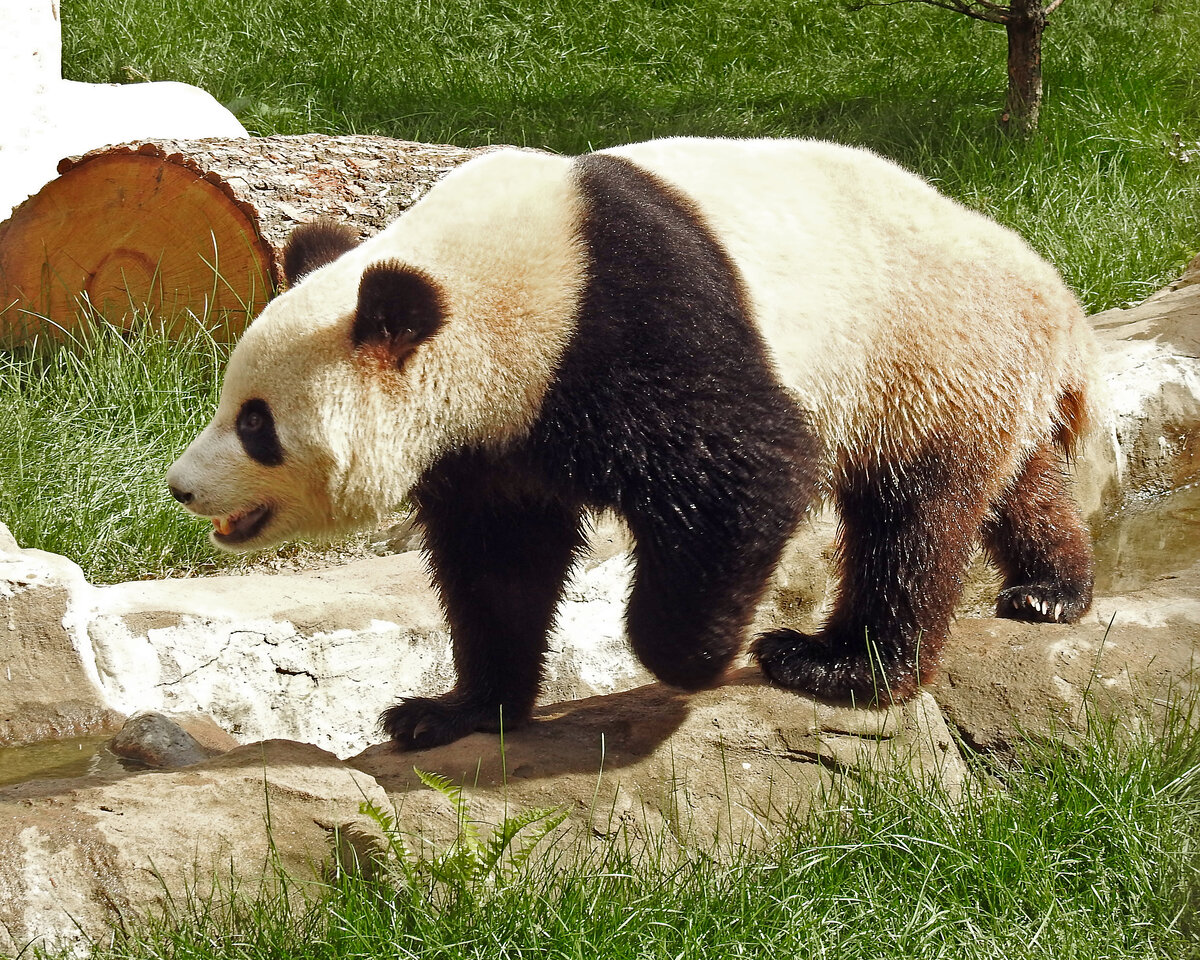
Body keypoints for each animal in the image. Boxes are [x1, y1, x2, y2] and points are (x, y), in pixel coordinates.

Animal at [169, 135, 1099, 748]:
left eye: (255, 424)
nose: (181, 487)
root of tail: (1052, 291)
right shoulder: (495, 434)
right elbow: (499, 559)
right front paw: (453, 710)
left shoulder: (624, 321)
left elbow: (746, 470)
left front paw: (692, 658)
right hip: (967, 373)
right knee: (1013, 478)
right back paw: (1051, 589)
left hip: (921, 346)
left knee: (912, 519)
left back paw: (840, 666)